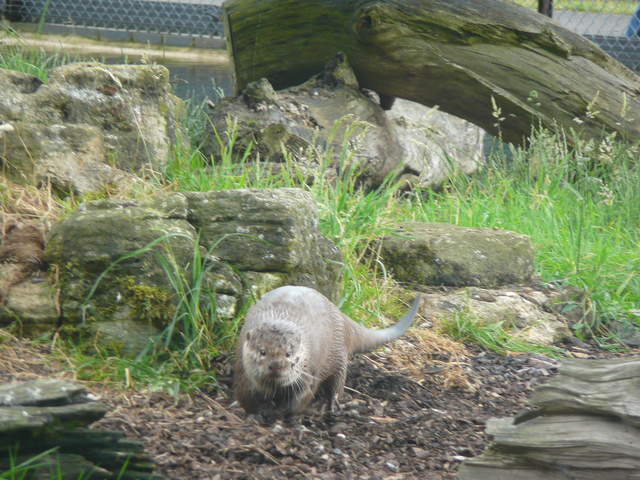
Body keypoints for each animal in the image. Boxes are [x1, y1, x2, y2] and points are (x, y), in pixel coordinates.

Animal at [233, 285, 420, 416]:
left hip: (339, 356)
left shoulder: (310, 371)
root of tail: (341, 316)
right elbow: (245, 398)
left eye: (289, 354)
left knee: (338, 383)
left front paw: (281, 412)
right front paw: (255, 411)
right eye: (262, 351)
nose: (276, 365)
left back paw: (330, 405)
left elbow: (301, 399)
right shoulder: (242, 372)